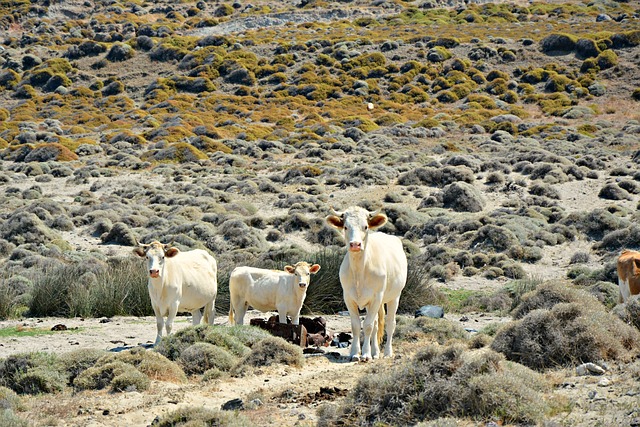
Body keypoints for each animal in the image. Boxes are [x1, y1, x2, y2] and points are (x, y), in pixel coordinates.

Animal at [328, 207, 408, 362]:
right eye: (345, 227)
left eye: (365, 227)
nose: (355, 244)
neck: (359, 271)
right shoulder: (348, 298)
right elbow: (356, 325)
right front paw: (355, 353)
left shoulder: (376, 297)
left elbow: (368, 326)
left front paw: (365, 354)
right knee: (377, 324)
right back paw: (375, 352)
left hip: (394, 297)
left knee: (390, 324)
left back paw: (387, 352)